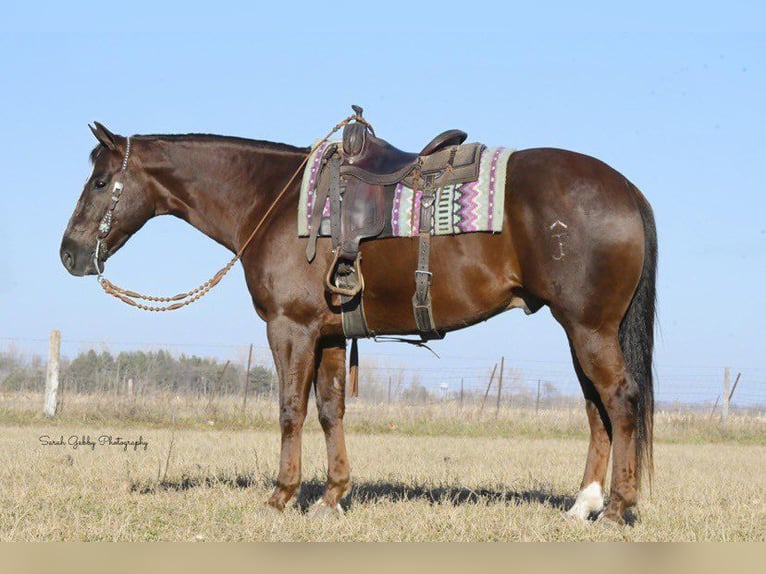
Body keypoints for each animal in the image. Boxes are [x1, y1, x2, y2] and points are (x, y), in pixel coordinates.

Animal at [61, 120, 660, 528]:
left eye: (100, 181)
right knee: (596, 408)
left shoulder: (290, 329)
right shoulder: (328, 335)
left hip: (589, 328)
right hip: (580, 330)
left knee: (620, 399)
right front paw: (332, 496)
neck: (273, 201)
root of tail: (626, 189)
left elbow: (290, 410)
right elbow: (330, 411)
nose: (70, 254)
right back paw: (583, 503)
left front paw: (281, 496)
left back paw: (617, 508)